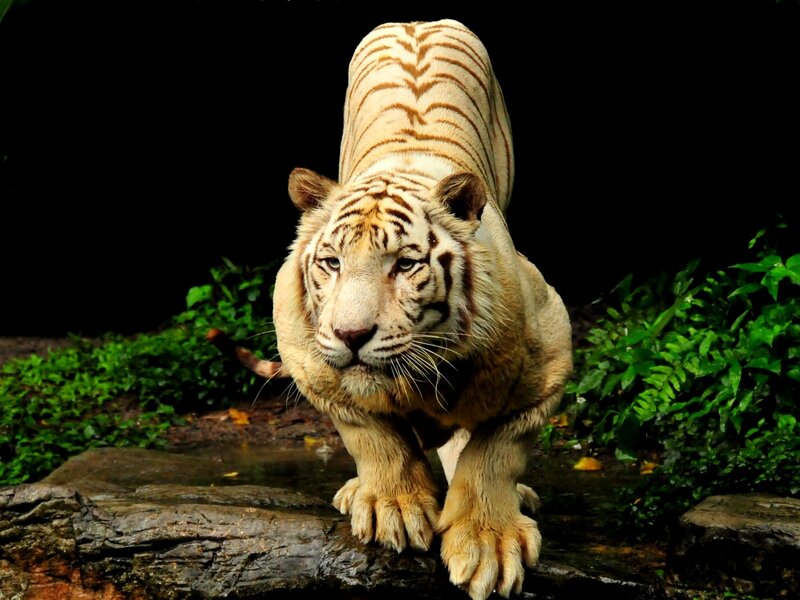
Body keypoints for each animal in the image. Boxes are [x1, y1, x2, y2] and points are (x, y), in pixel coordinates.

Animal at [246, 19, 571, 600]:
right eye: (331, 262)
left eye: (404, 265)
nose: (351, 334)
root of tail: (419, 19)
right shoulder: (309, 357)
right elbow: (372, 434)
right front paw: (391, 507)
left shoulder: (549, 354)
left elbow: (496, 451)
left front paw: (488, 543)